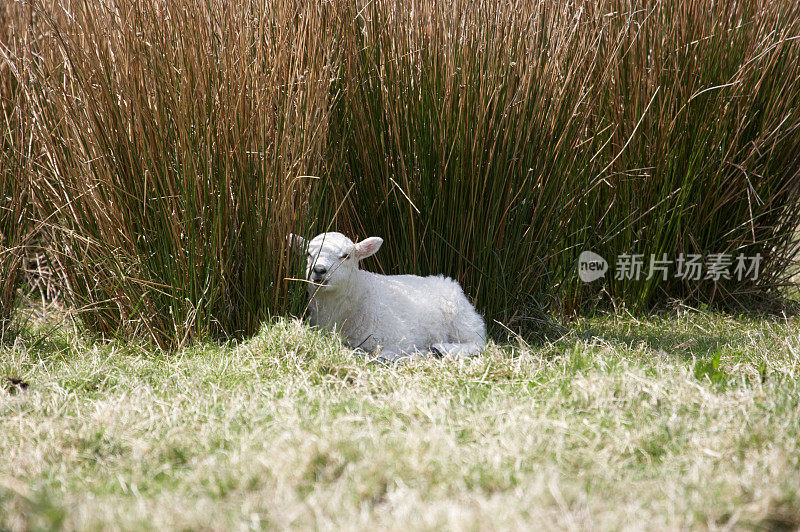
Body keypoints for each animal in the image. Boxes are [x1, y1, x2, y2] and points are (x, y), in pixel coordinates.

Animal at [290, 231, 488, 364]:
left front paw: (414, 355)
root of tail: (446, 281)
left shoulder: (399, 337)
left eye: (346, 256)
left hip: (462, 320)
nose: (319, 270)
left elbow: (385, 355)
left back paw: (441, 349)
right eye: (308, 253)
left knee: (477, 342)